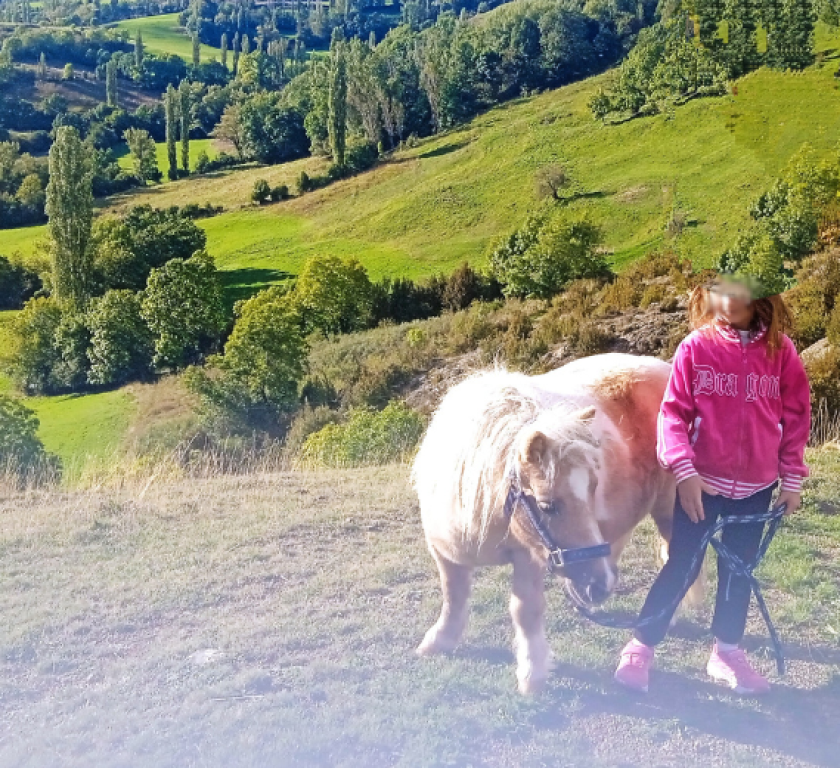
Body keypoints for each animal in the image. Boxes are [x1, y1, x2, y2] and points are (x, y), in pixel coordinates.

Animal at [414, 354, 684, 696]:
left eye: (592, 487)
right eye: (547, 506)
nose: (599, 586)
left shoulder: (528, 556)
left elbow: (525, 610)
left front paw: (532, 673)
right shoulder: (444, 552)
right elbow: (453, 595)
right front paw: (439, 641)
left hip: (669, 509)